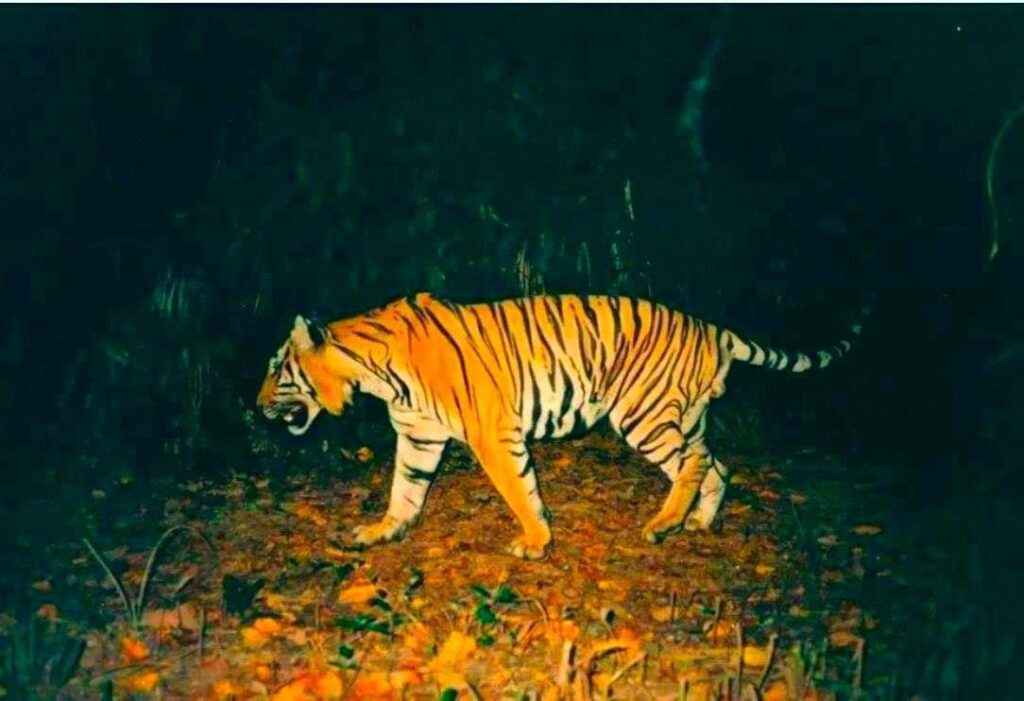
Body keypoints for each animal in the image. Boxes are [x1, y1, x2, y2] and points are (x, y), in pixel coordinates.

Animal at [257, 292, 863, 560]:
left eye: (274, 368)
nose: (256, 407)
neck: (376, 375)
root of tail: (713, 327)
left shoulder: (492, 434)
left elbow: (519, 489)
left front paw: (535, 541)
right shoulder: (419, 435)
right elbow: (405, 489)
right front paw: (385, 530)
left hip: (643, 415)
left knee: (692, 463)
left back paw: (662, 524)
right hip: (686, 416)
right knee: (718, 465)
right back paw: (698, 522)